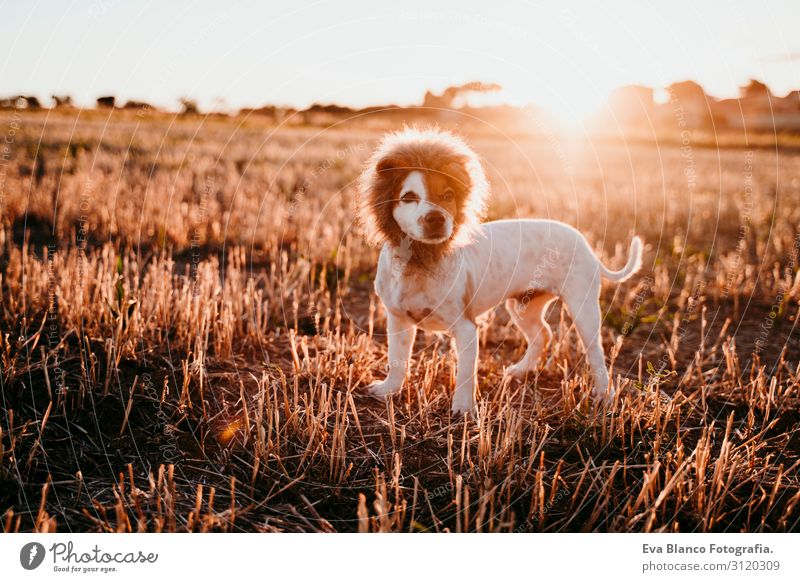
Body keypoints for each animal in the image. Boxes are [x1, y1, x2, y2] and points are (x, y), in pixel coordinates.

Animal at [356, 129, 644, 420]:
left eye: (448, 195)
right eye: (408, 197)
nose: (436, 218)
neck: (419, 261)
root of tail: (586, 245)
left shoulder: (466, 328)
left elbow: (466, 373)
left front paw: (463, 409)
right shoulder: (398, 321)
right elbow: (397, 360)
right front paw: (388, 390)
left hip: (582, 308)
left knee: (596, 352)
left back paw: (605, 395)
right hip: (523, 307)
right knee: (543, 335)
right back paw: (521, 370)